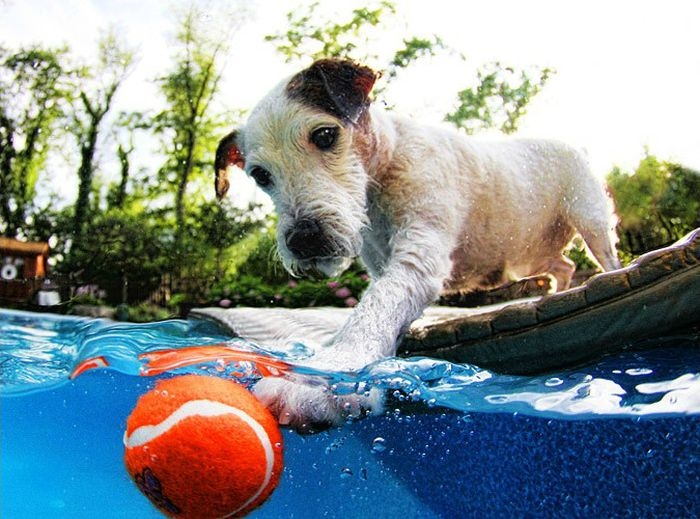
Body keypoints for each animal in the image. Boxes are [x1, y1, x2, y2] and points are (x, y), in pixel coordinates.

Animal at [213, 57, 616, 432]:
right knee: (563, 265)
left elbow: (375, 308)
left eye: (325, 135)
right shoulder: (381, 265)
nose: (304, 240)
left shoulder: (417, 256)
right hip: (532, 255)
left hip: (590, 219)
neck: (385, 168)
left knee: (604, 257)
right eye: (260, 175)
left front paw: (323, 378)